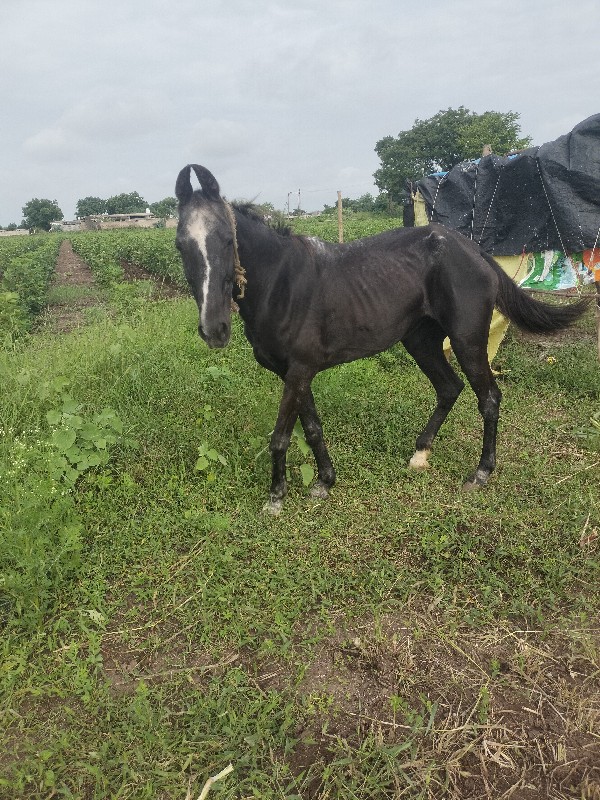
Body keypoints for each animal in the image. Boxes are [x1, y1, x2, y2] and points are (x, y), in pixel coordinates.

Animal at [175, 164, 584, 512]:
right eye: (180, 244)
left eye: (228, 240)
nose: (214, 330)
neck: (282, 284)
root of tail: (473, 249)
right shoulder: (295, 372)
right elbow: (312, 428)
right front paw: (324, 482)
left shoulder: (299, 370)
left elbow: (281, 436)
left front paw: (276, 498)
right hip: (420, 341)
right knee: (449, 388)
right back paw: (420, 454)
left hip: (467, 341)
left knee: (489, 398)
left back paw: (481, 473)